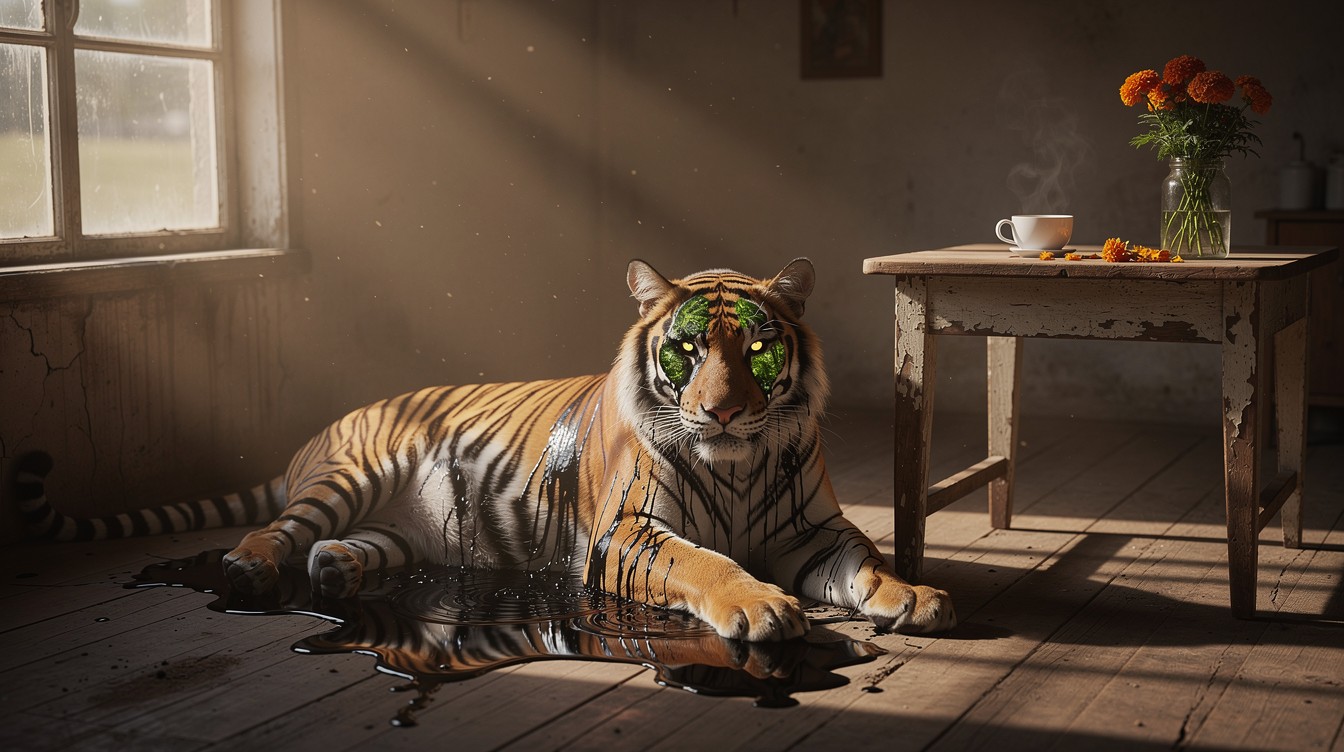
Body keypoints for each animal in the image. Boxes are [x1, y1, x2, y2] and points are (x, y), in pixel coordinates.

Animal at [17, 259, 955, 641]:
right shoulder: (627, 534)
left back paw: (336, 573)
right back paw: (253, 568)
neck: (739, 463)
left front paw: (911, 596)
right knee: (279, 529)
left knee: (345, 546)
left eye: (757, 348)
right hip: (354, 475)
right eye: (686, 351)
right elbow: (708, 563)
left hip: (402, 525)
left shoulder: (814, 531)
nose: (721, 412)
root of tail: (321, 432)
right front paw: (760, 606)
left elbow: (865, 561)